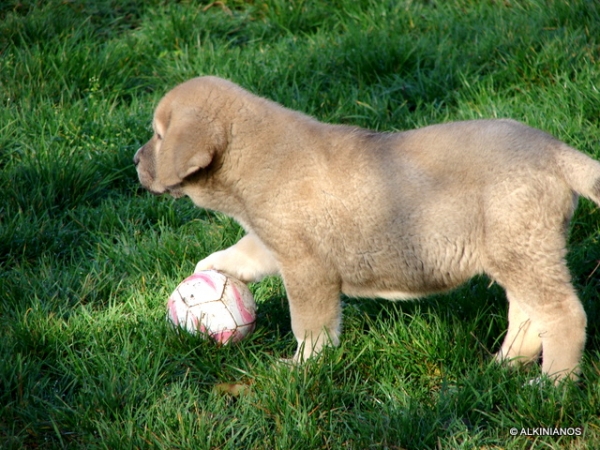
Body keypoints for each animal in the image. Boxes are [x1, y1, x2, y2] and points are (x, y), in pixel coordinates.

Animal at [134, 75, 596, 382]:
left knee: (562, 316)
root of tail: (555, 150)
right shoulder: (275, 241)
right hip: (517, 255)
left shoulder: (306, 268)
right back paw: (503, 365)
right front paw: (212, 269)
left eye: (158, 135)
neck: (254, 155)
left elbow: (310, 325)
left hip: (524, 251)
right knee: (526, 315)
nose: (136, 161)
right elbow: (246, 251)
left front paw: (303, 364)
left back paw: (552, 385)